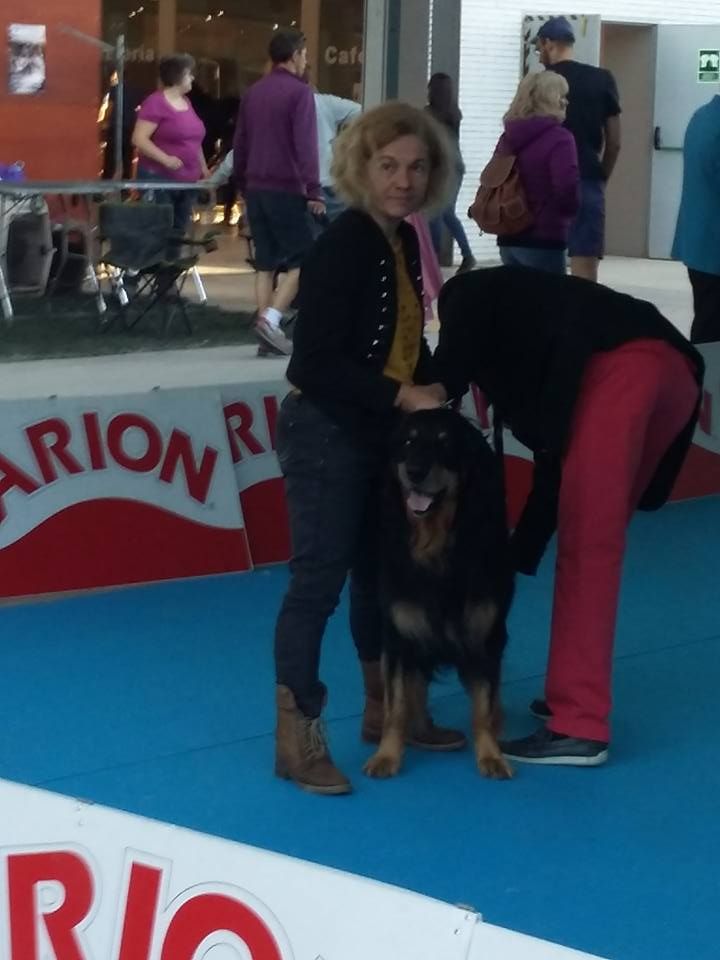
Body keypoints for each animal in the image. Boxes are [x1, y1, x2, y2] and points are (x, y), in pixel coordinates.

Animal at [362, 404, 516, 780]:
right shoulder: (398, 637)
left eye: (445, 444)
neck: (435, 545)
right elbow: (397, 703)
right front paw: (387, 755)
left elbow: (483, 703)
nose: (415, 472)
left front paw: (490, 754)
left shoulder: (485, 635)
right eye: (407, 442)